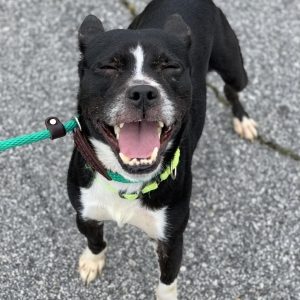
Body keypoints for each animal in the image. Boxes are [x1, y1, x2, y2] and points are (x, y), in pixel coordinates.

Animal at [67, 0, 258, 298]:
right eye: (108, 67)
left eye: (170, 67)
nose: (143, 92)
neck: (126, 180)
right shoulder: (85, 213)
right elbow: (95, 240)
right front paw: (92, 261)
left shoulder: (172, 238)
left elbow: (168, 279)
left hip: (235, 68)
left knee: (232, 89)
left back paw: (243, 119)